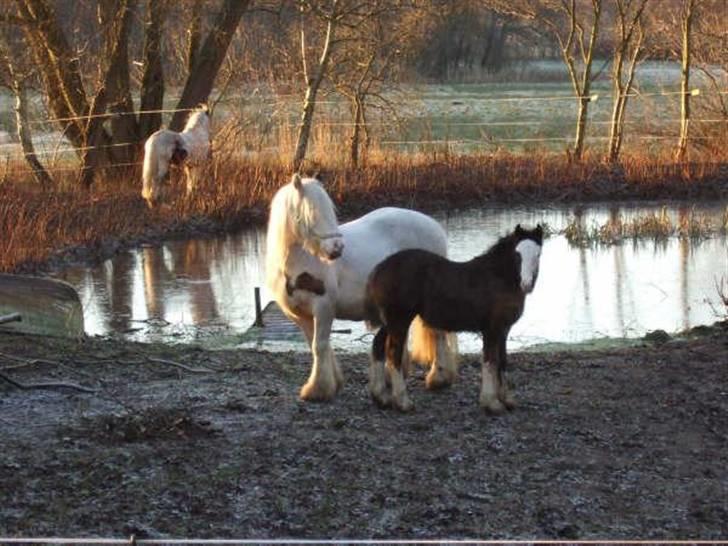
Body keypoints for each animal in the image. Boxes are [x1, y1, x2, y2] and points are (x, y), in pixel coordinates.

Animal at [264, 172, 458, 402]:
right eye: (310, 211)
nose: (337, 249)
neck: (299, 263)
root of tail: (433, 225)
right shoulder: (298, 315)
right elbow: (316, 346)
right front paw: (331, 383)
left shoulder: (324, 308)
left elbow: (319, 346)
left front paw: (318, 389)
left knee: (437, 333)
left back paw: (438, 377)